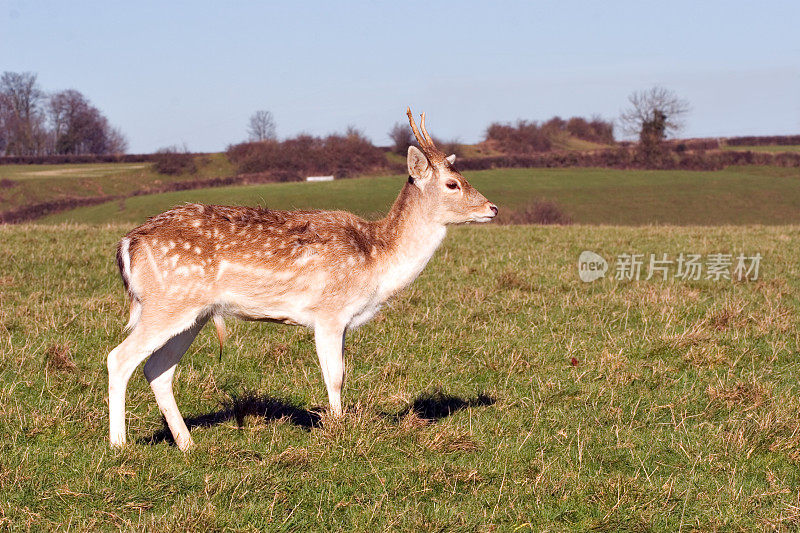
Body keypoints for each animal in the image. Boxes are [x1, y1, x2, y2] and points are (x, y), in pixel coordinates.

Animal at [106, 109, 494, 448]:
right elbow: (336, 376)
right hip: (167, 303)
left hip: (194, 313)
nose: (492, 208)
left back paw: (187, 444)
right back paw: (119, 444)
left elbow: (340, 374)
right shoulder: (329, 312)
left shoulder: (341, 320)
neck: (376, 260)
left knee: (158, 369)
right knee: (119, 357)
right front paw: (338, 432)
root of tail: (127, 244)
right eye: (453, 183)